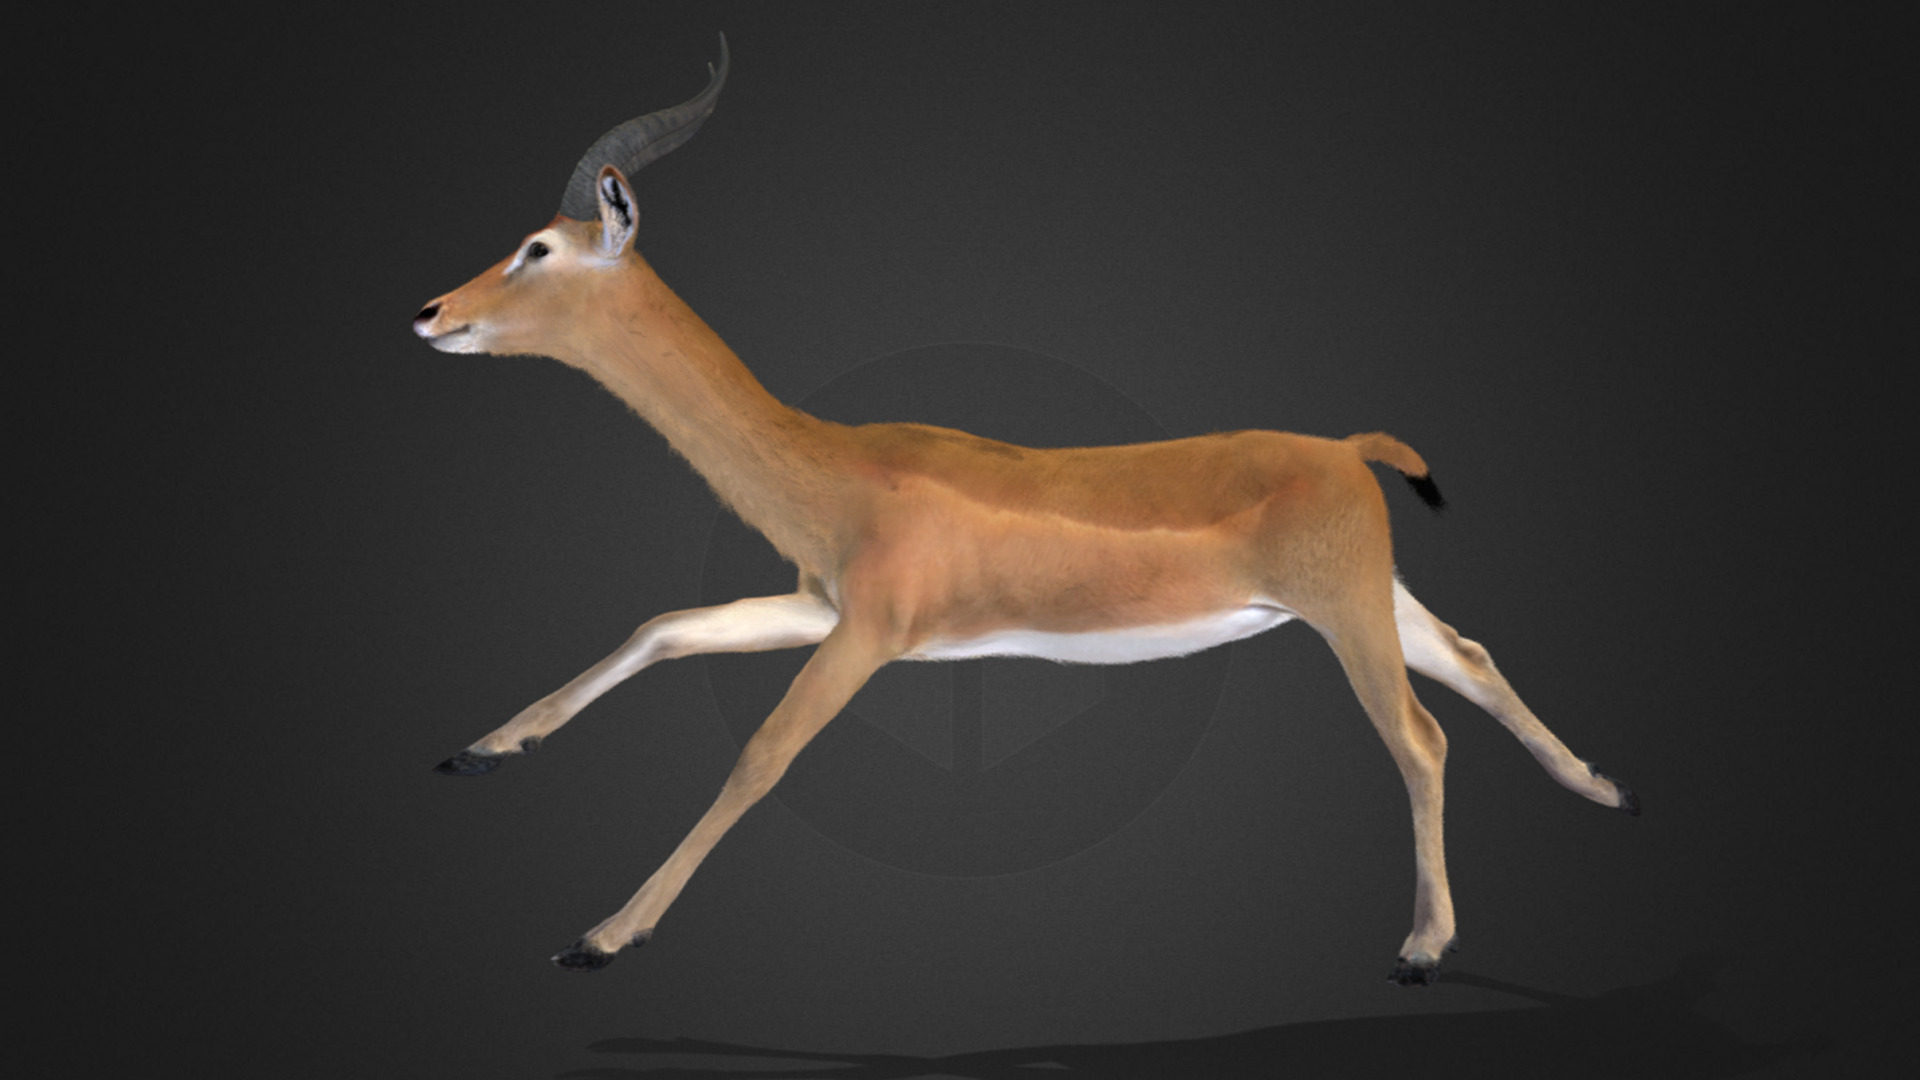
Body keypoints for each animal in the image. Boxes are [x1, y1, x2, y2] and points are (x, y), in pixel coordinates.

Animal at [411, 36, 1637, 985]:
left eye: (538, 248)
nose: (430, 312)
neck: (834, 470)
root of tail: (1346, 451)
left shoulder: (868, 635)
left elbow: (757, 758)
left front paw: (603, 936)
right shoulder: (818, 607)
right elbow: (661, 627)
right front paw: (481, 749)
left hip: (1344, 616)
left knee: (1421, 736)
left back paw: (1424, 948)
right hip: (1375, 600)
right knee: (1472, 656)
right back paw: (1605, 788)